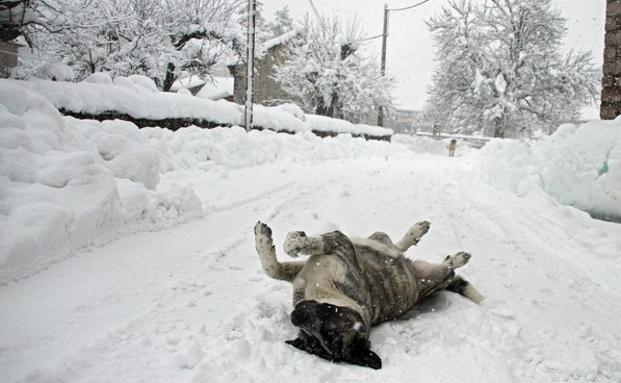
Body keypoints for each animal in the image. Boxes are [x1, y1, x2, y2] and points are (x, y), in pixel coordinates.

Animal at [254, 222, 482, 368]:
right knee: (393, 247)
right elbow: (272, 269)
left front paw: (293, 240)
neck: (329, 293)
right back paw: (416, 233)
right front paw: (264, 241)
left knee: (446, 267)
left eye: (330, 330)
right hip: (381, 241)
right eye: (310, 338)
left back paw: (456, 258)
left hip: (435, 275)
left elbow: (300, 246)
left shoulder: (340, 245)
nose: (294, 316)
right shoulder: (302, 273)